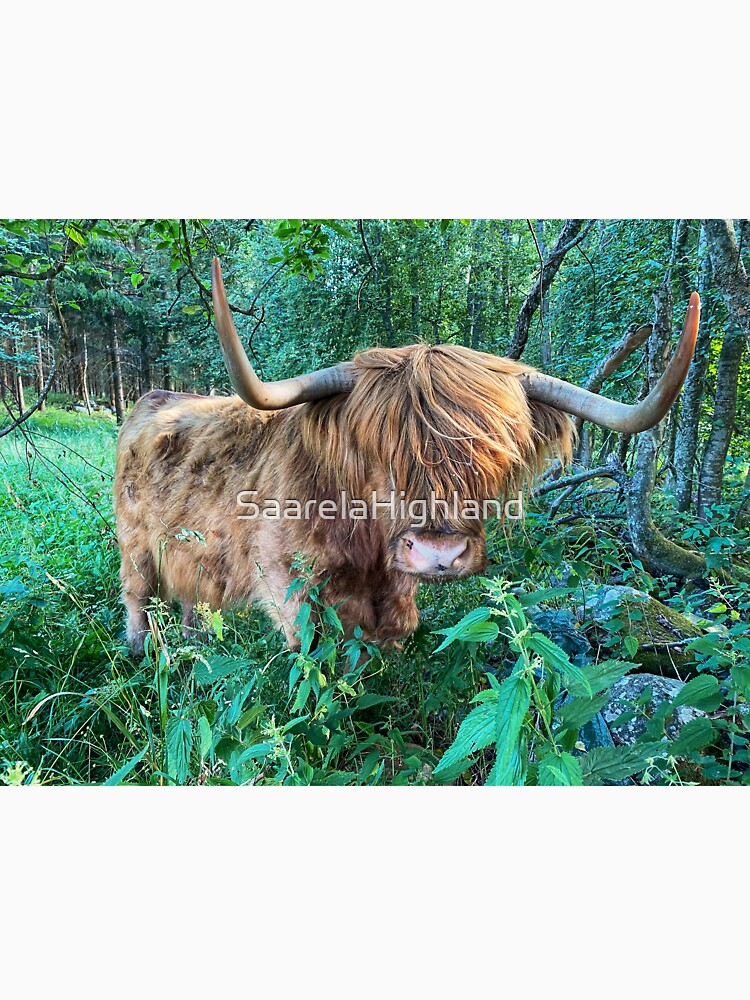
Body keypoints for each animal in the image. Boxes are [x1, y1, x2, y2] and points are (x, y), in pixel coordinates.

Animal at [114, 259, 700, 654]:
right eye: (379, 455)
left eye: (491, 461)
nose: (439, 553)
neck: (364, 550)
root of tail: (154, 398)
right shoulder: (287, 586)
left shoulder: (393, 600)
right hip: (135, 545)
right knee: (138, 597)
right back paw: (143, 655)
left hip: (188, 555)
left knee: (190, 598)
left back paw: (195, 648)